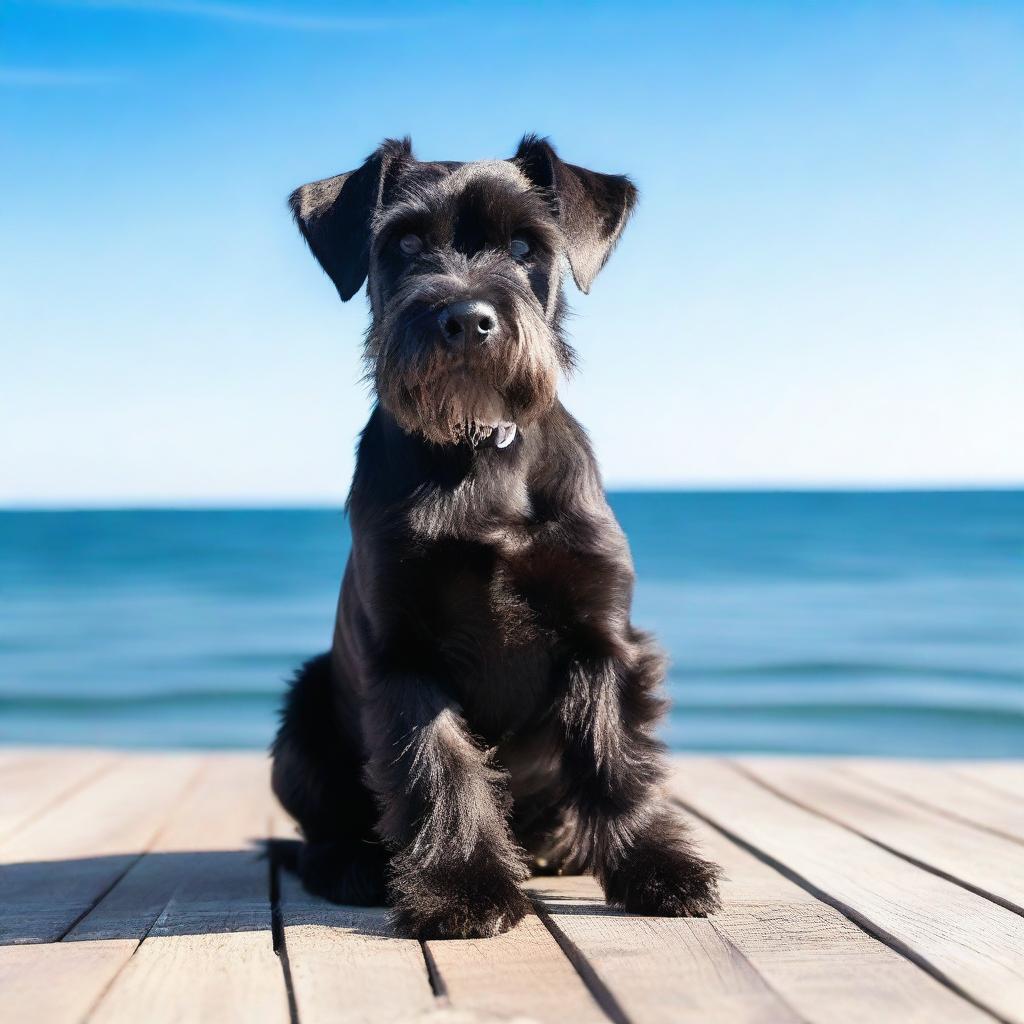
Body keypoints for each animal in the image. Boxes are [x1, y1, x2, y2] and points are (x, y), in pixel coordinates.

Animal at [272, 134, 720, 937]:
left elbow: (617, 762)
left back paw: (560, 846)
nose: (467, 319)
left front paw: (659, 870)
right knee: (318, 832)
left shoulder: (601, 640)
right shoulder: (407, 653)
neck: (480, 451)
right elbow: (440, 767)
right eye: (404, 243)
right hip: (303, 711)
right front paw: (463, 887)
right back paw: (356, 865)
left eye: (523, 245)